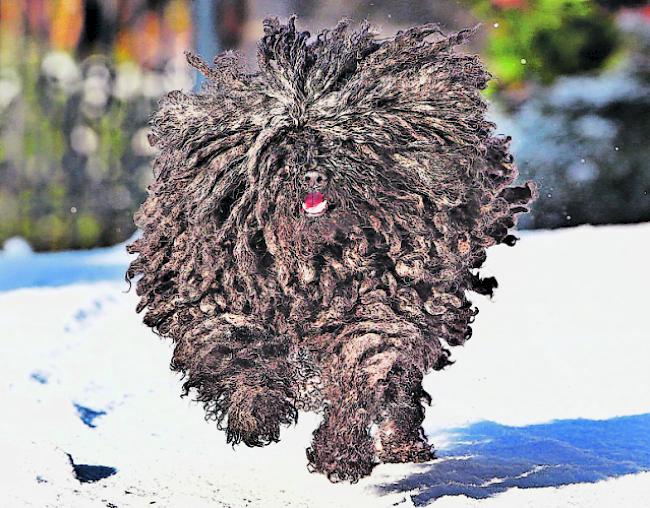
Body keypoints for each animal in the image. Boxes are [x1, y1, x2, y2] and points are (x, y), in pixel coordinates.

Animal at [126, 15, 536, 482]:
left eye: (339, 142)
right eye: (282, 146)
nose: (312, 177)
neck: (310, 261)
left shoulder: (380, 304)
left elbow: (363, 366)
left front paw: (339, 452)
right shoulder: (219, 294)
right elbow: (235, 346)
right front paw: (255, 411)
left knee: (400, 388)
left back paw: (404, 444)